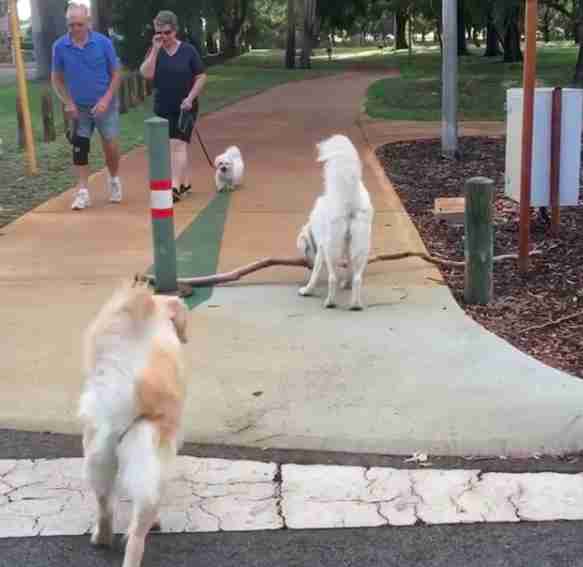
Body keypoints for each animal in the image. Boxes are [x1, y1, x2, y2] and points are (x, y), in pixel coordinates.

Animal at [296, 134, 374, 310]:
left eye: (305, 250)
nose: (307, 265)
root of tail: (349, 199)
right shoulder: (346, 247)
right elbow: (348, 268)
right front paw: (346, 284)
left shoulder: (322, 248)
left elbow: (316, 273)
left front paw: (307, 289)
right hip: (361, 246)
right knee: (358, 278)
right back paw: (355, 304)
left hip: (332, 247)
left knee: (332, 278)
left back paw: (330, 302)